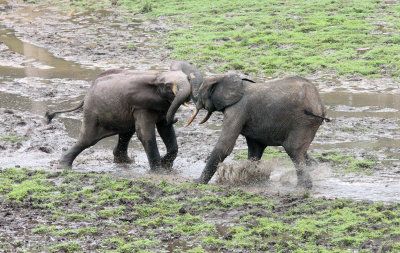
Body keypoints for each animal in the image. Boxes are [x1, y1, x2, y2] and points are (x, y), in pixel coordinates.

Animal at [44, 69, 191, 172]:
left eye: (189, 79)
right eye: (168, 86)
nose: (176, 119)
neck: (156, 76)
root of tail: (86, 95)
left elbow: (166, 130)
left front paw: (166, 166)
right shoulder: (141, 106)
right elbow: (146, 134)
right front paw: (159, 172)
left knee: (126, 132)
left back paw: (124, 162)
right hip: (92, 112)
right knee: (87, 140)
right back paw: (63, 167)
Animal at [186, 74, 330, 189]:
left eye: (200, 94)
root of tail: (319, 105)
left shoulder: (238, 109)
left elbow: (225, 145)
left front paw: (196, 182)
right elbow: (255, 149)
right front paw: (252, 179)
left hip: (302, 121)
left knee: (293, 149)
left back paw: (303, 186)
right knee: (298, 149)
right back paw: (312, 169)